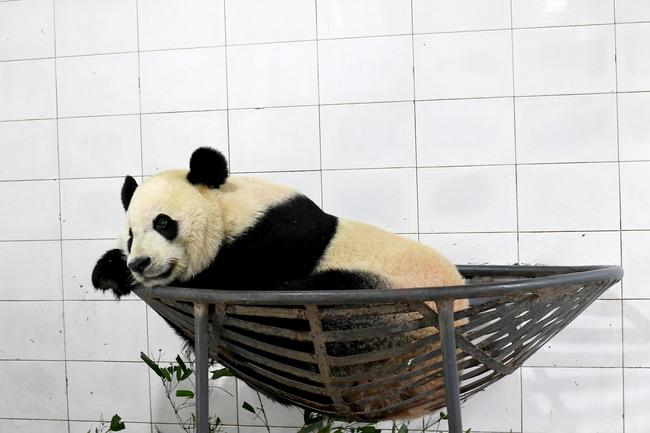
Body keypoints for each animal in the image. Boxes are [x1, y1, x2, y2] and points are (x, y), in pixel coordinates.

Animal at [92, 147, 466, 416]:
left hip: (380, 309)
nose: (140, 263)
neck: (231, 210)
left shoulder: (273, 241)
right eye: (130, 235)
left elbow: (230, 287)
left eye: (163, 222)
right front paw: (109, 270)